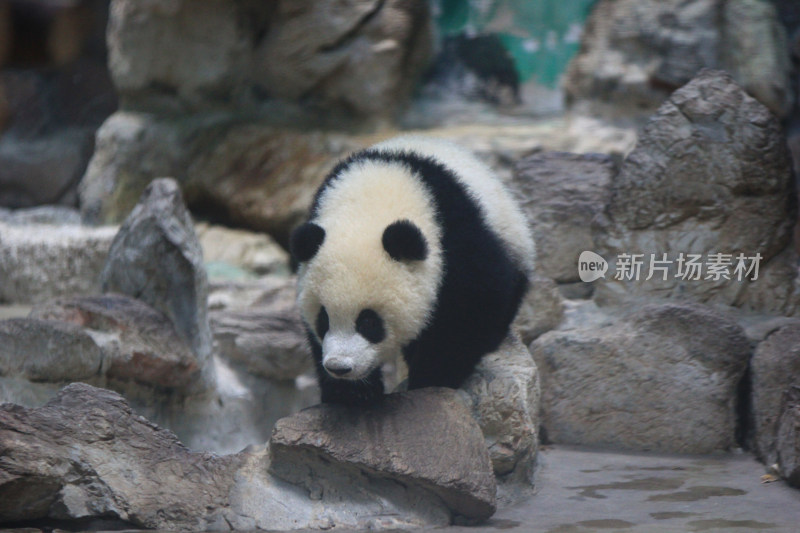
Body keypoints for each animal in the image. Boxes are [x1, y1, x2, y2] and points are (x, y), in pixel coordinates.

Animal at [290, 136, 536, 404]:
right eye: (323, 319)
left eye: (369, 322)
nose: (339, 367)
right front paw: (350, 393)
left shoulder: (456, 236)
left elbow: (472, 307)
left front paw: (432, 377)